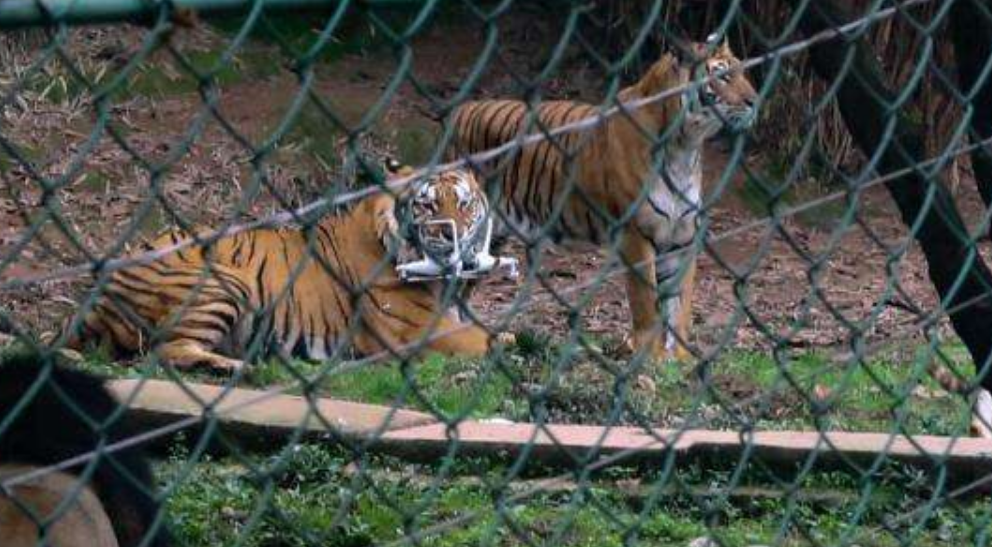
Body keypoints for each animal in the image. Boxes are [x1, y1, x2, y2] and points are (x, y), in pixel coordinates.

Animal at [64, 166, 504, 372]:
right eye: (427, 205)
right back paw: (239, 367)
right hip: (226, 282)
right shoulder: (419, 331)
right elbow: (490, 340)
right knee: (166, 351)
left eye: (464, 204)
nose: (449, 235)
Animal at [450, 36, 760, 362]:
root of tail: (463, 110)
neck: (685, 146)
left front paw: (680, 361)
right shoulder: (636, 234)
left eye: (743, 72)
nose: (755, 101)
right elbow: (646, 303)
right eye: (722, 75)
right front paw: (650, 359)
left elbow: (680, 307)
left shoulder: (681, 238)